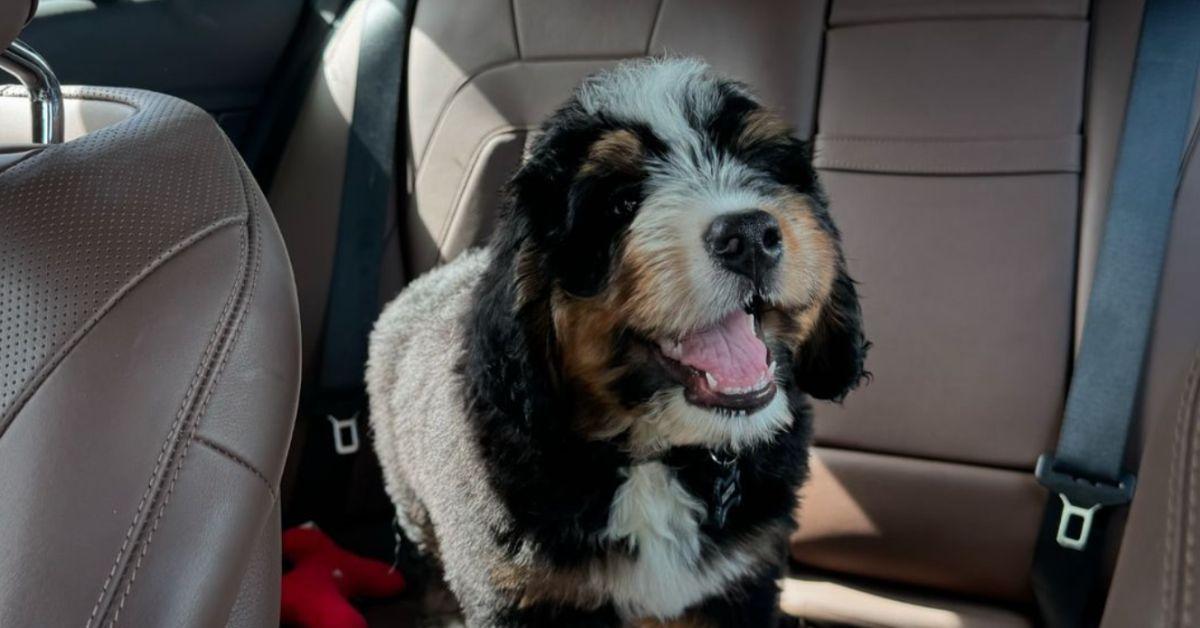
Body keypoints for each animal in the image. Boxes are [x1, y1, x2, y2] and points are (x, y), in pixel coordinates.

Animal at [364, 56, 864, 624]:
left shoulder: (746, 576)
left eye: (760, 168)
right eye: (623, 202)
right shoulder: (513, 590)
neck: (655, 458)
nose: (751, 235)